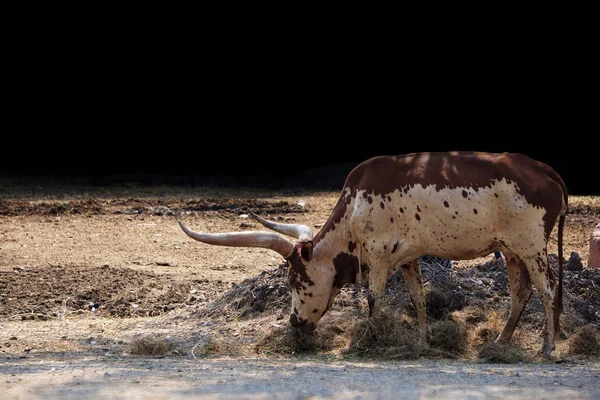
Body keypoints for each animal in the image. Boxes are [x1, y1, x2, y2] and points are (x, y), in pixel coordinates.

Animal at [178, 152, 568, 358]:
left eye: (295, 280)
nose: (295, 322)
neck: (354, 207)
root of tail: (544, 171)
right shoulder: (409, 257)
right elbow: (418, 298)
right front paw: (422, 340)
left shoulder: (379, 254)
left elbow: (373, 297)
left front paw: (370, 338)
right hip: (512, 250)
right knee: (522, 292)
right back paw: (500, 343)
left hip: (532, 245)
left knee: (547, 288)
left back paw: (546, 348)